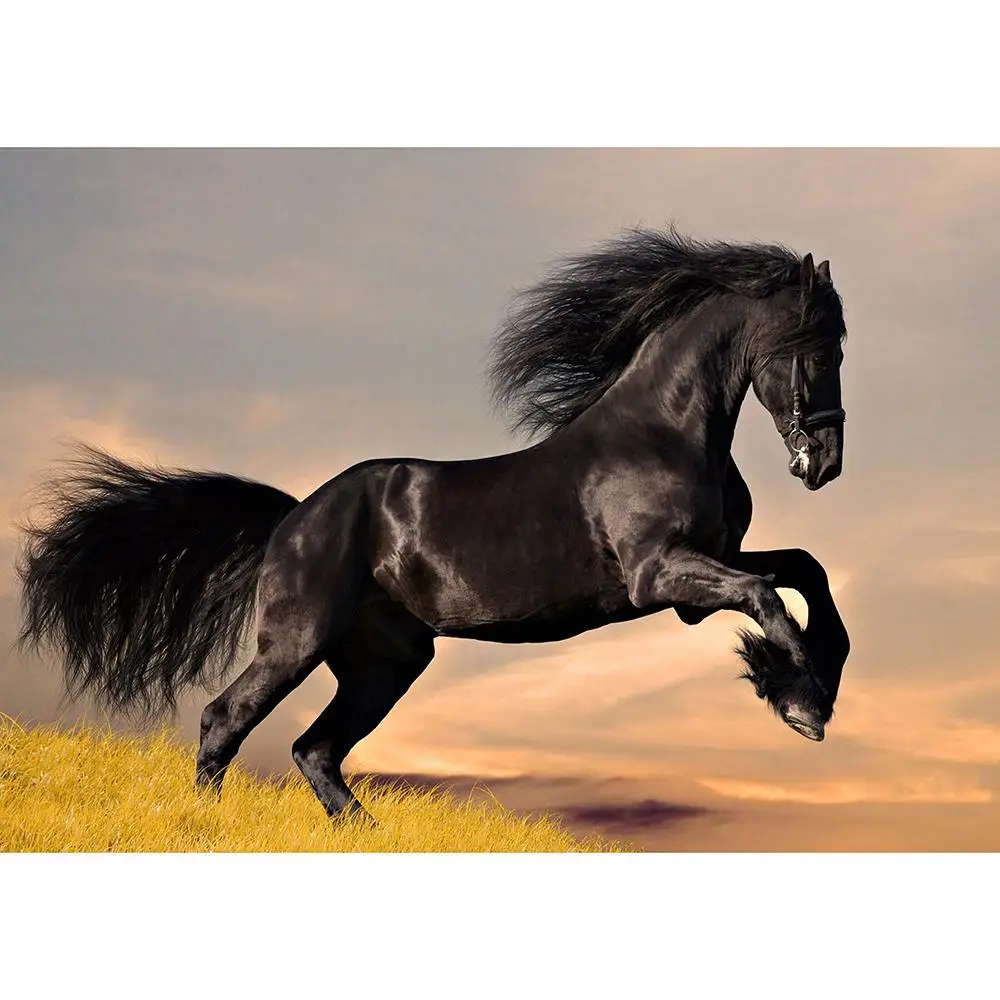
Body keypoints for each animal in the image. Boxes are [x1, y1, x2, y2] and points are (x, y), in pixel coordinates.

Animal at [16, 227, 851, 823]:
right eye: (815, 348)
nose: (826, 464)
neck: (663, 432)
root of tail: (293, 517)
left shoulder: (708, 566)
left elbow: (806, 571)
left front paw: (808, 685)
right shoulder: (660, 576)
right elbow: (769, 597)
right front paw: (801, 704)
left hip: (385, 662)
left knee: (315, 750)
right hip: (298, 640)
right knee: (227, 721)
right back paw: (206, 824)